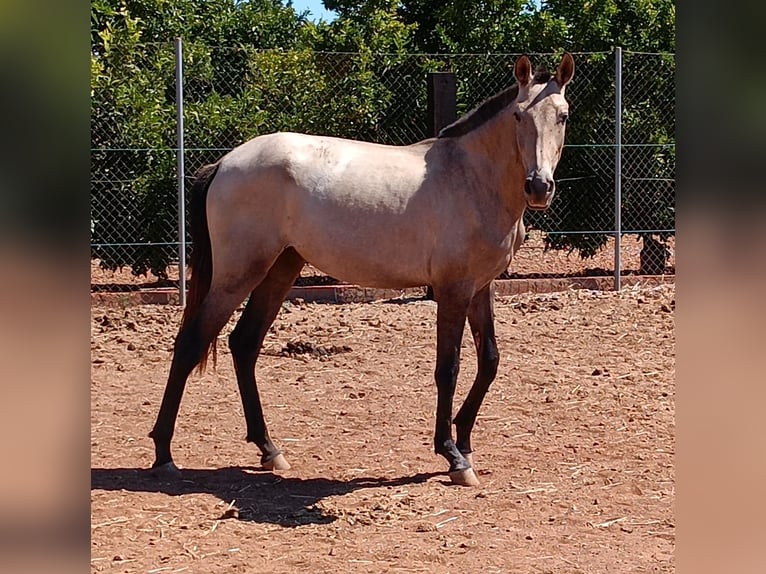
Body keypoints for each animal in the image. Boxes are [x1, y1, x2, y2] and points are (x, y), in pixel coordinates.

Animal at [149, 53, 575, 487]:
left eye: (563, 116)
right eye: (519, 115)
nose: (539, 187)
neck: (470, 178)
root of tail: (224, 163)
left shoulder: (480, 286)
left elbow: (489, 361)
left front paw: (465, 441)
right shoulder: (452, 289)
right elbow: (449, 368)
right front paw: (452, 455)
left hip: (280, 268)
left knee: (244, 344)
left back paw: (270, 450)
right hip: (238, 274)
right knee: (190, 343)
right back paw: (164, 454)